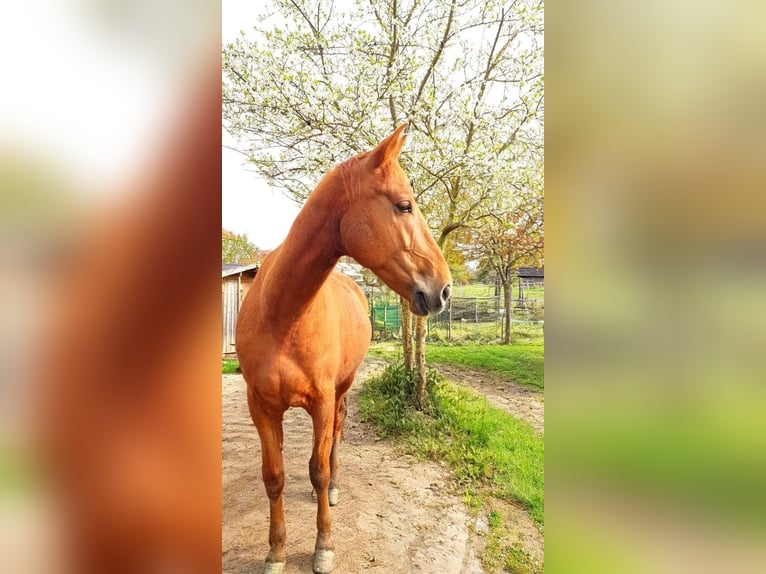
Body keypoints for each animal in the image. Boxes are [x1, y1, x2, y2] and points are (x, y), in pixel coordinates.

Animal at [235, 123, 452, 574]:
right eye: (404, 205)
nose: (444, 289)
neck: (283, 315)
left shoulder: (320, 400)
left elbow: (317, 469)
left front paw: (324, 547)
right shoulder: (260, 405)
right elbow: (274, 476)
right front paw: (275, 553)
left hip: (342, 389)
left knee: (336, 435)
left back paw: (335, 488)